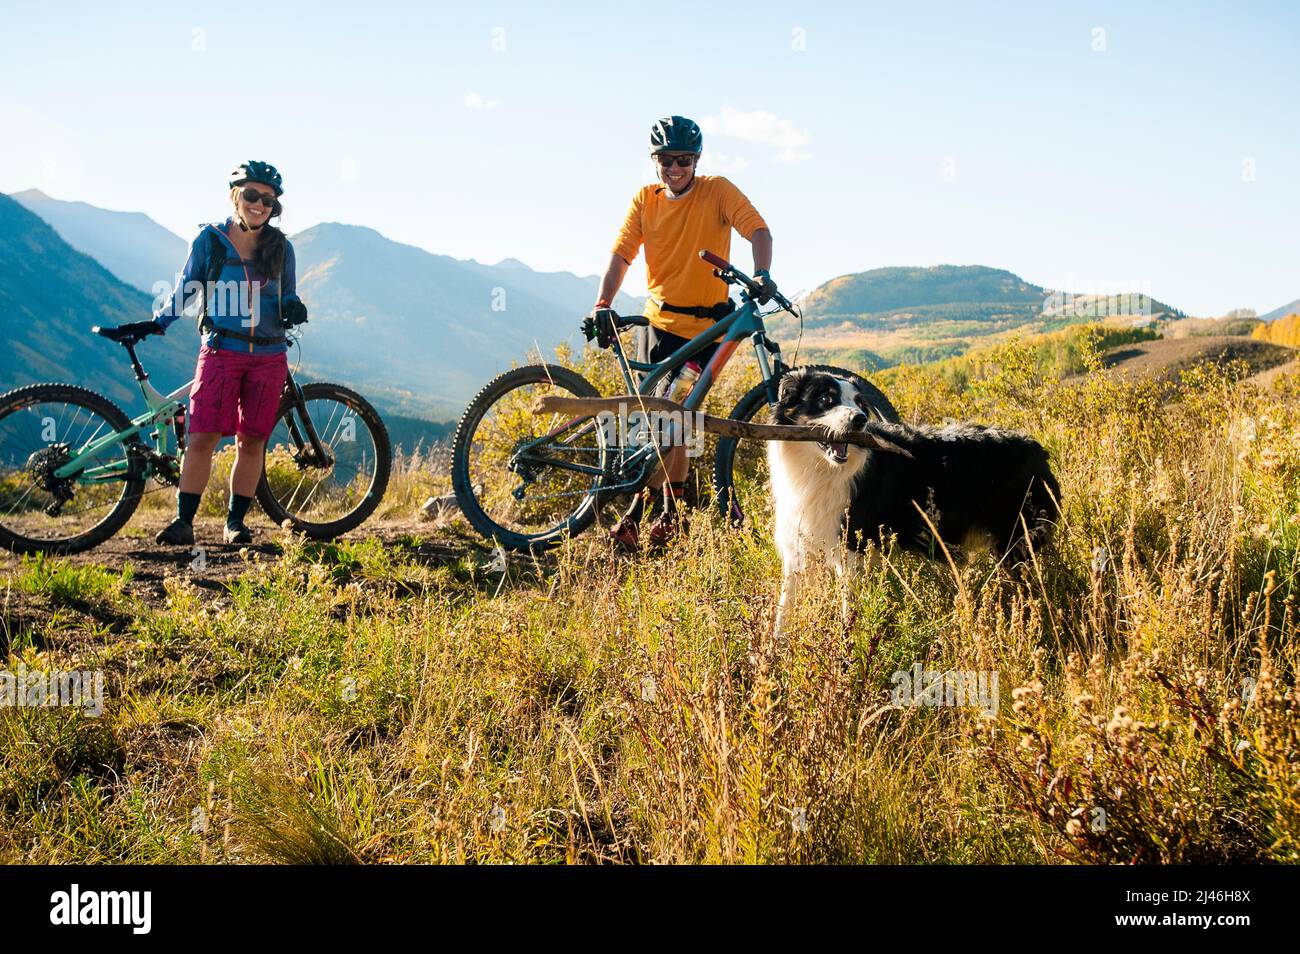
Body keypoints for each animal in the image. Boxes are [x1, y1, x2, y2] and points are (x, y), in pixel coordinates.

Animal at [769, 369, 1055, 634]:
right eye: (826, 399)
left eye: (861, 404)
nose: (860, 419)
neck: (820, 468)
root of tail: (1037, 448)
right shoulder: (797, 547)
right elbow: (784, 609)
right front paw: (775, 650)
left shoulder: (851, 549)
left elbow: (847, 611)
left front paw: (846, 648)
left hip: (1015, 539)